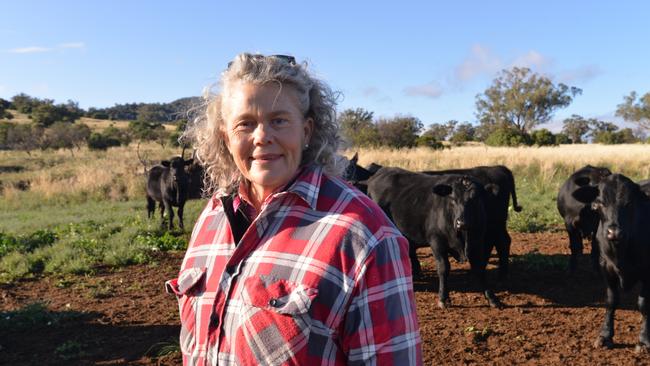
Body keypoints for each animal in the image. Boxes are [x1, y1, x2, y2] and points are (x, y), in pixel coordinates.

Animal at [364, 168, 502, 308]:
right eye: (453, 200)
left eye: (474, 199)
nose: (461, 223)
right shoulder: (437, 241)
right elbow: (443, 268)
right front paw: (443, 298)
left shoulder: (476, 242)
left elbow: (480, 268)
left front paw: (492, 298)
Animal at [572, 174, 648, 352]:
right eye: (600, 202)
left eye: (629, 203)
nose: (614, 232)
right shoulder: (606, 268)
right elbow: (611, 301)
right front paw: (605, 336)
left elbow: (643, 304)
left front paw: (643, 340)